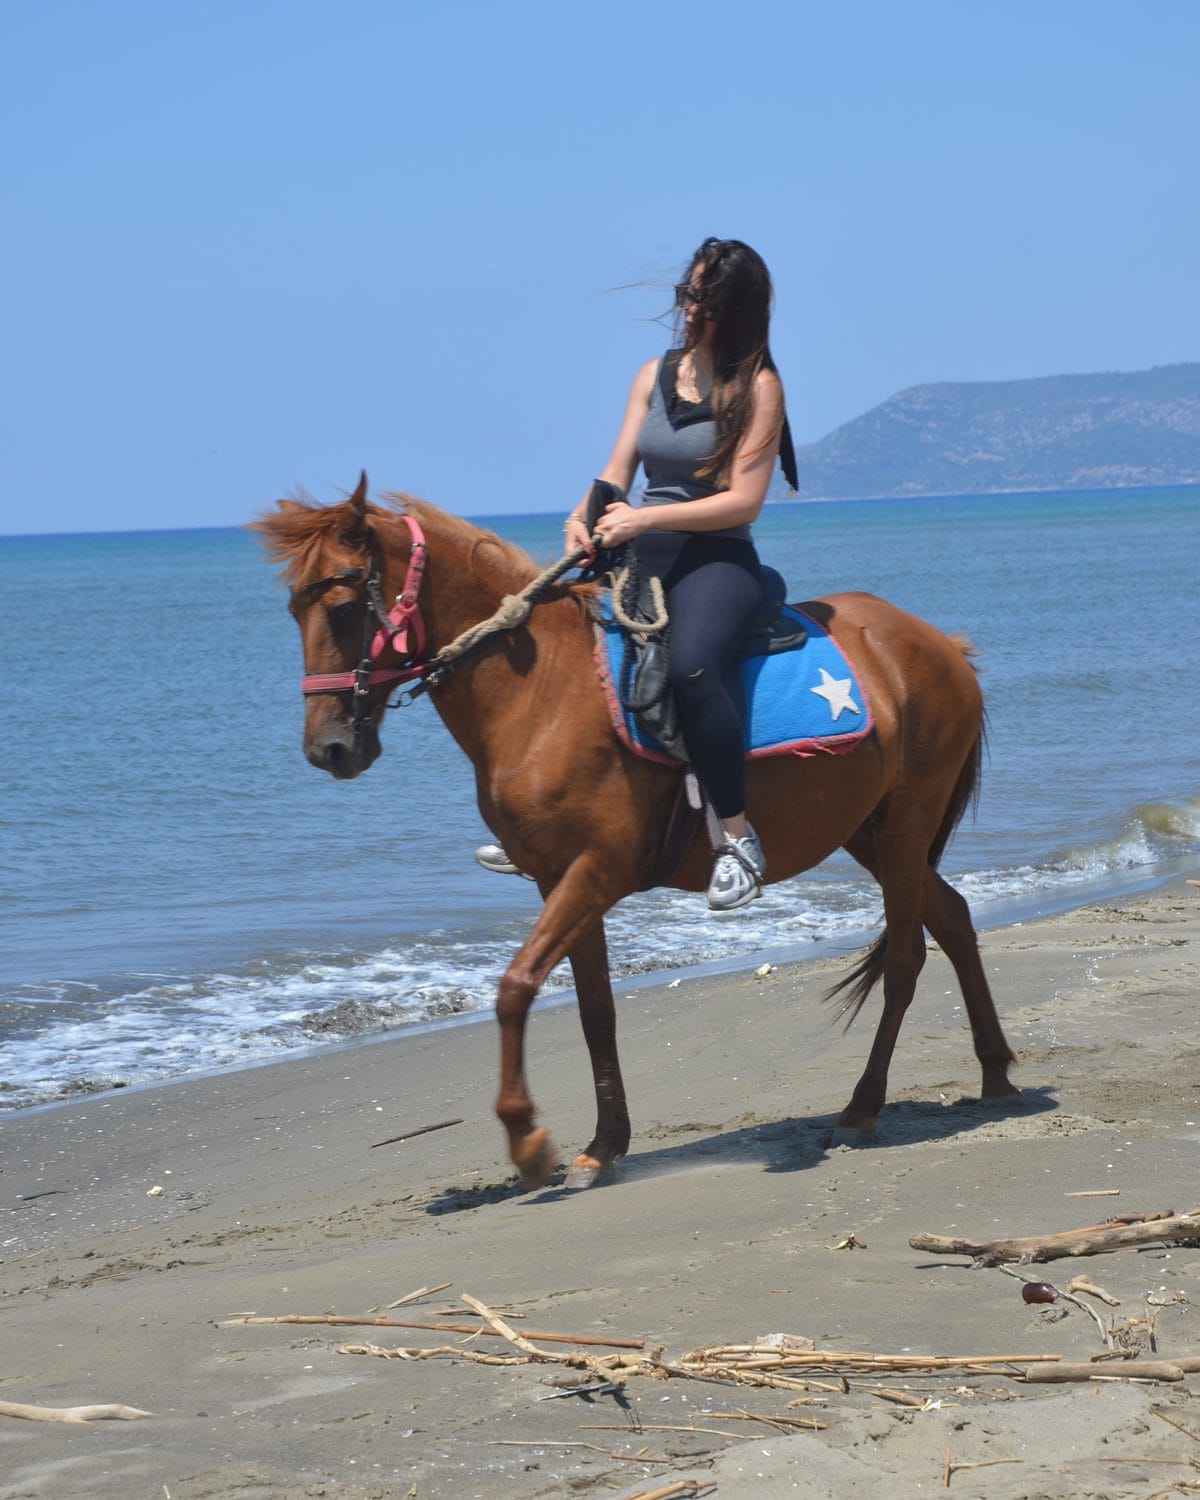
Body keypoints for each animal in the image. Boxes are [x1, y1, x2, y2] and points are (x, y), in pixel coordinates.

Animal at [252, 474, 1018, 1189]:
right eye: (293, 609)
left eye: (343, 609)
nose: (328, 750)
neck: (540, 691)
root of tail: (939, 645)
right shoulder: (558, 881)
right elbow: (594, 1010)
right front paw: (603, 1146)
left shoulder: (597, 870)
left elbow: (515, 986)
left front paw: (528, 1140)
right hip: (870, 830)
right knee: (952, 916)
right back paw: (996, 1073)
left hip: (905, 826)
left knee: (906, 959)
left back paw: (862, 1109)